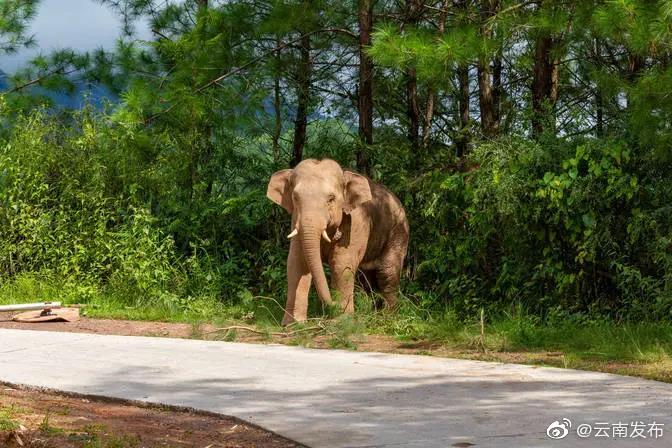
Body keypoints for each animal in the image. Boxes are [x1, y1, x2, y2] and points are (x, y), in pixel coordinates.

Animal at [267, 158, 409, 325]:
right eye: (295, 197)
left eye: (331, 198)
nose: (333, 304)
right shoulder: (295, 221)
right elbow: (297, 263)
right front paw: (293, 324)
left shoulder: (356, 222)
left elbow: (341, 264)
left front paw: (342, 321)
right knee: (366, 276)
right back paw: (370, 313)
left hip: (399, 231)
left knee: (387, 271)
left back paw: (388, 318)